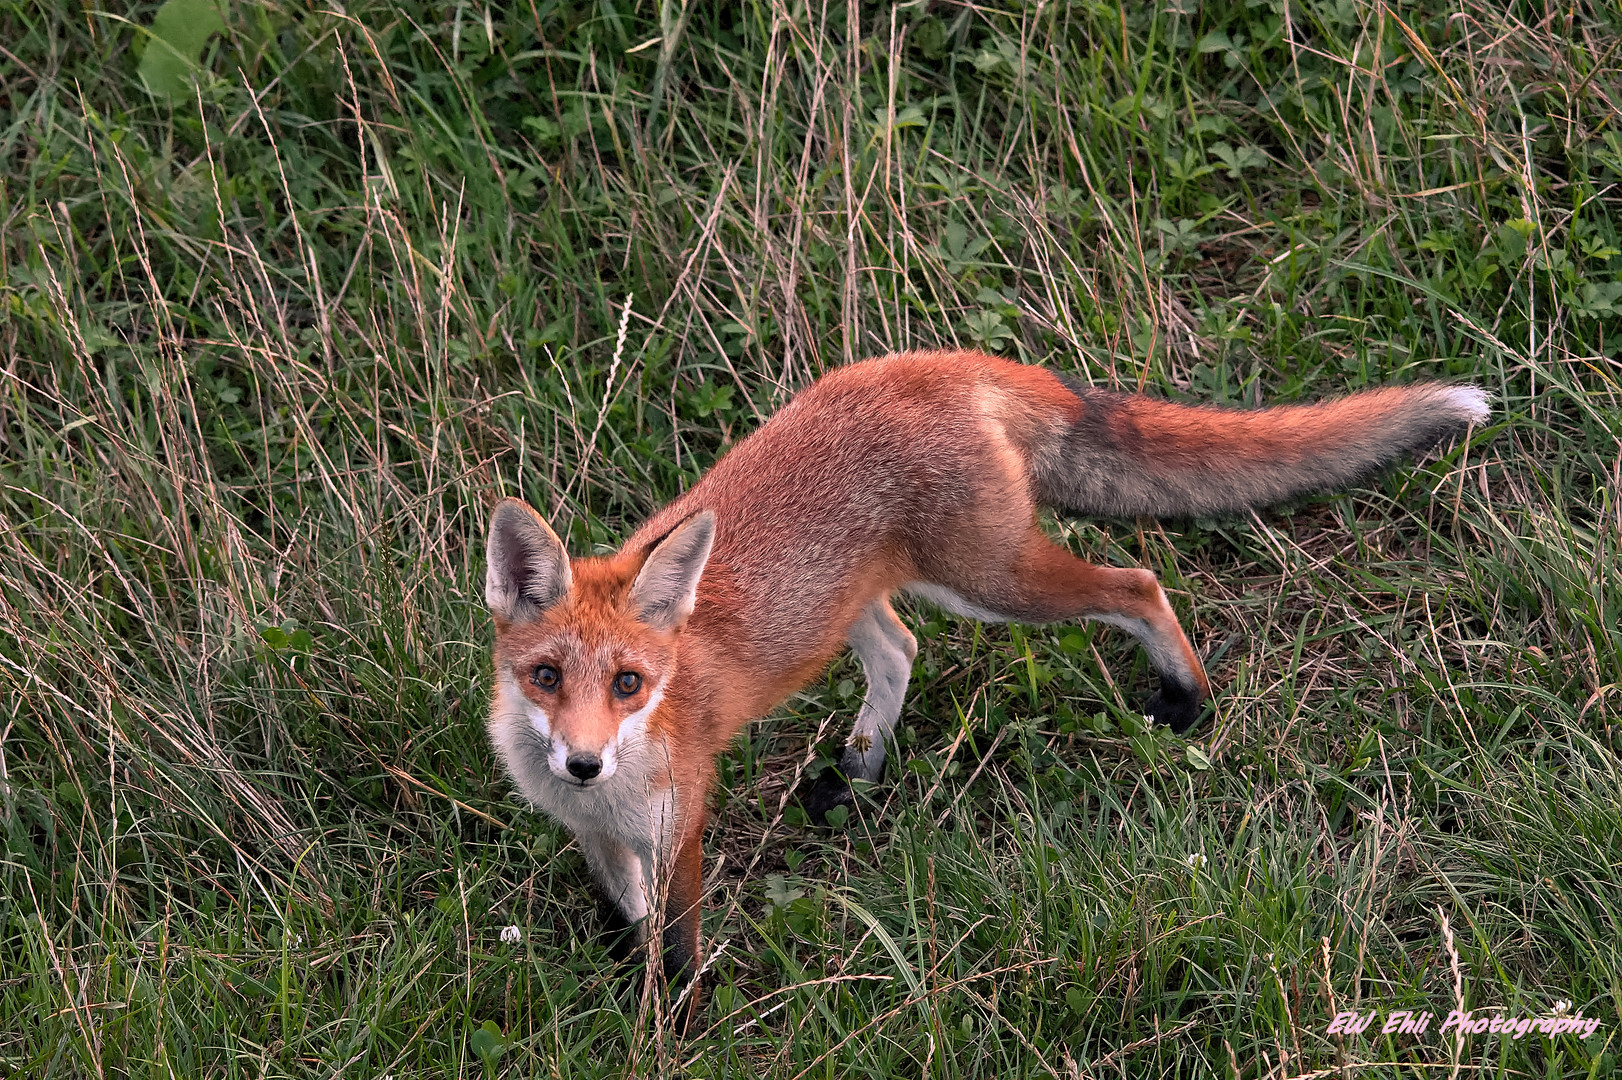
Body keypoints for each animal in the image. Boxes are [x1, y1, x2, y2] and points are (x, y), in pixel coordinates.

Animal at [476, 353, 1485, 998]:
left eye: (629, 684)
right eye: (546, 675)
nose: (582, 764)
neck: (609, 798)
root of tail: (948, 362)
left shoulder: (679, 828)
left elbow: (679, 948)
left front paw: (677, 1019)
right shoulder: (597, 839)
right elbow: (628, 921)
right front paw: (627, 984)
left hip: (992, 581)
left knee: (1138, 582)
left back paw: (1188, 699)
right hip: (882, 595)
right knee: (901, 653)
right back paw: (858, 775)